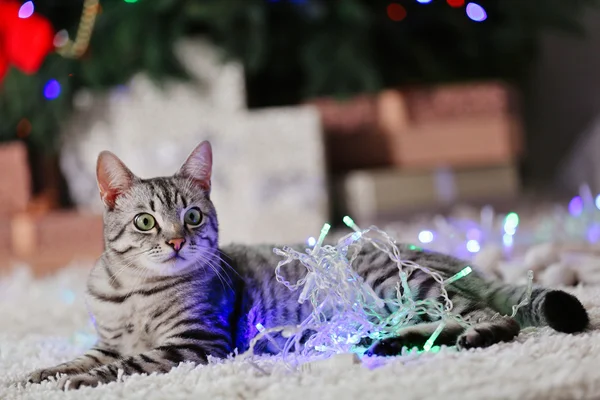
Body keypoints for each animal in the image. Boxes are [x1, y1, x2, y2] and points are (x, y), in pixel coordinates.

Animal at [25, 141, 588, 390]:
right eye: (145, 222)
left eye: (192, 215)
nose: (177, 240)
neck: (134, 292)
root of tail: (455, 261)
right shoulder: (107, 339)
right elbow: (83, 358)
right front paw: (42, 373)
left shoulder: (195, 342)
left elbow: (125, 365)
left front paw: (77, 383)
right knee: (431, 327)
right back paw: (387, 345)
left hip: (396, 280)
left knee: (488, 318)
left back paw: (471, 334)